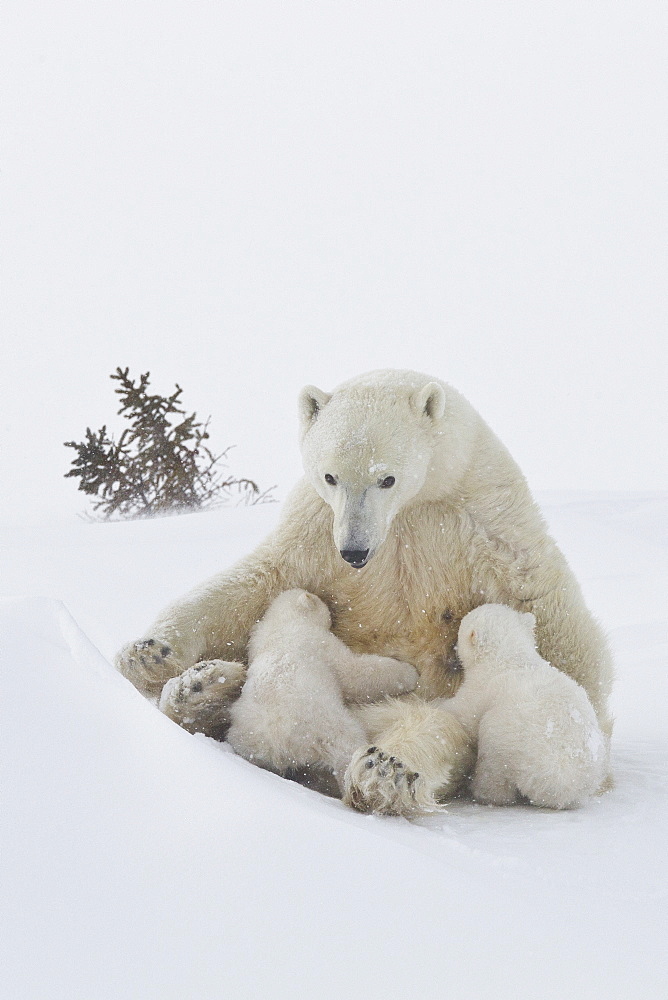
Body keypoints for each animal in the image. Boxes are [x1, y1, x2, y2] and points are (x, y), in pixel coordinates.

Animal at [117, 372, 612, 816]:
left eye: (386, 479)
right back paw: (198, 689)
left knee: (432, 726)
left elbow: (546, 613)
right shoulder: (316, 530)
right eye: (330, 476)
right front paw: (149, 653)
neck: (415, 506)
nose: (355, 551)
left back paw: (386, 771)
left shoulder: (486, 526)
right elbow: (257, 583)